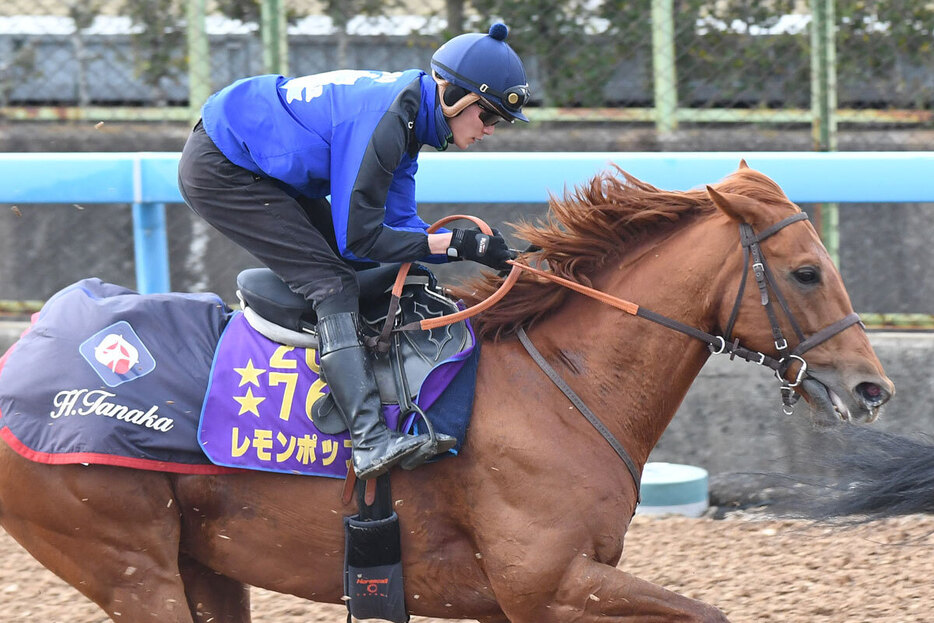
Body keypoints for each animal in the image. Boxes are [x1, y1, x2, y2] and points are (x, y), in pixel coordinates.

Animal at [0, 162, 896, 623]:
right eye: (806, 271)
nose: (872, 385)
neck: (563, 384)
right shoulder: (547, 585)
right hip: (126, 563)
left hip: (206, 564)